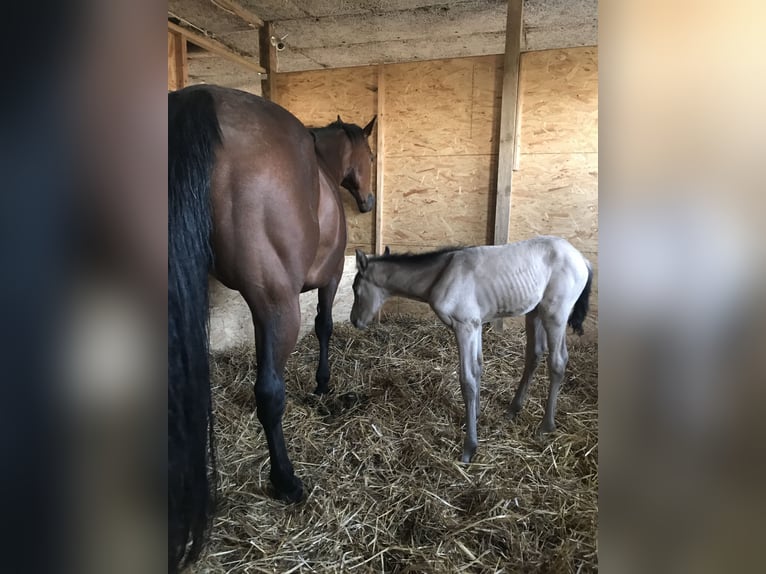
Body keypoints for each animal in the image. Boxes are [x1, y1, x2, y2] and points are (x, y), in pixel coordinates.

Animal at [169, 84, 376, 572]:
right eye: (371, 155)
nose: (368, 202)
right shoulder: (327, 281)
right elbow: (323, 327)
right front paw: (322, 383)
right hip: (279, 305)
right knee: (270, 394)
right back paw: (286, 481)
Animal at [350, 236, 593, 463]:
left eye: (355, 289)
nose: (354, 321)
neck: (440, 275)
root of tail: (582, 259)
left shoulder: (464, 326)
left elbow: (466, 380)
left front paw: (470, 447)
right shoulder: (475, 325)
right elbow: (477, 369)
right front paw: (477, 415)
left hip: (555, 314)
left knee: (558, 361)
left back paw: (546, 426)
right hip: (534, 312)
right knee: (534, 353)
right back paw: (514, 408)